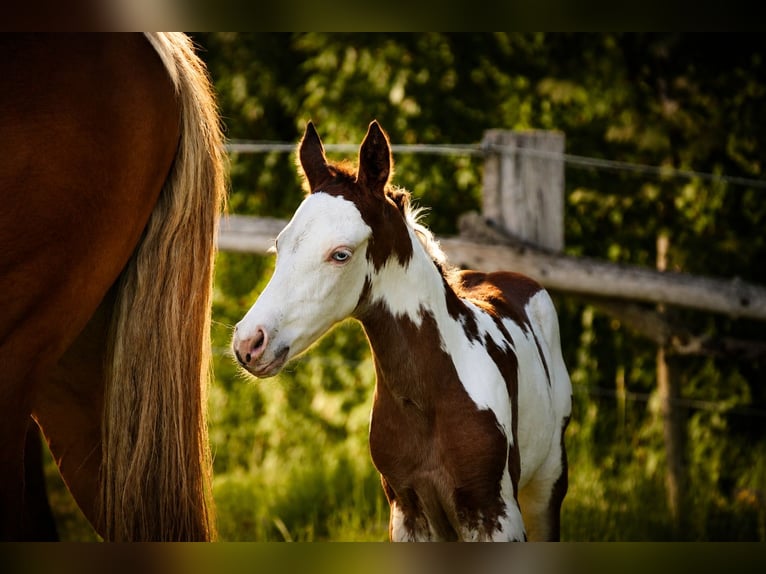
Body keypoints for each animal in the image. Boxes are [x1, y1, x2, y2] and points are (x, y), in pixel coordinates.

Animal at [232, 121, 573, 541]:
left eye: (341, 254)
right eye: (280, 245)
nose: (249, 343)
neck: (431, 397)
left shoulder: (496, 513)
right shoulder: (408, 511)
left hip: (547, 487)